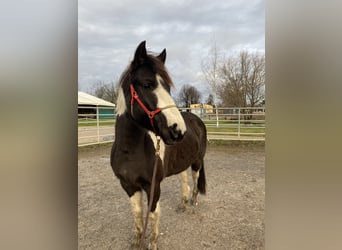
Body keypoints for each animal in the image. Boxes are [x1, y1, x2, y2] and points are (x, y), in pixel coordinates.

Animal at [111, 41, 207, 250]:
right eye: (147, 84)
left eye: (168, 88)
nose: (178, 130)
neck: (130, 150)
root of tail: (196, 120)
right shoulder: (128, 185)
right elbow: (137, 214)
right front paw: (137, 241)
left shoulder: (153, 185)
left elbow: (153, 213)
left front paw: (152, 243)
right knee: (184, 181)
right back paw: (182, 204)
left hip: (197, 161)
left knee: (195, 179)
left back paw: (193, 202)